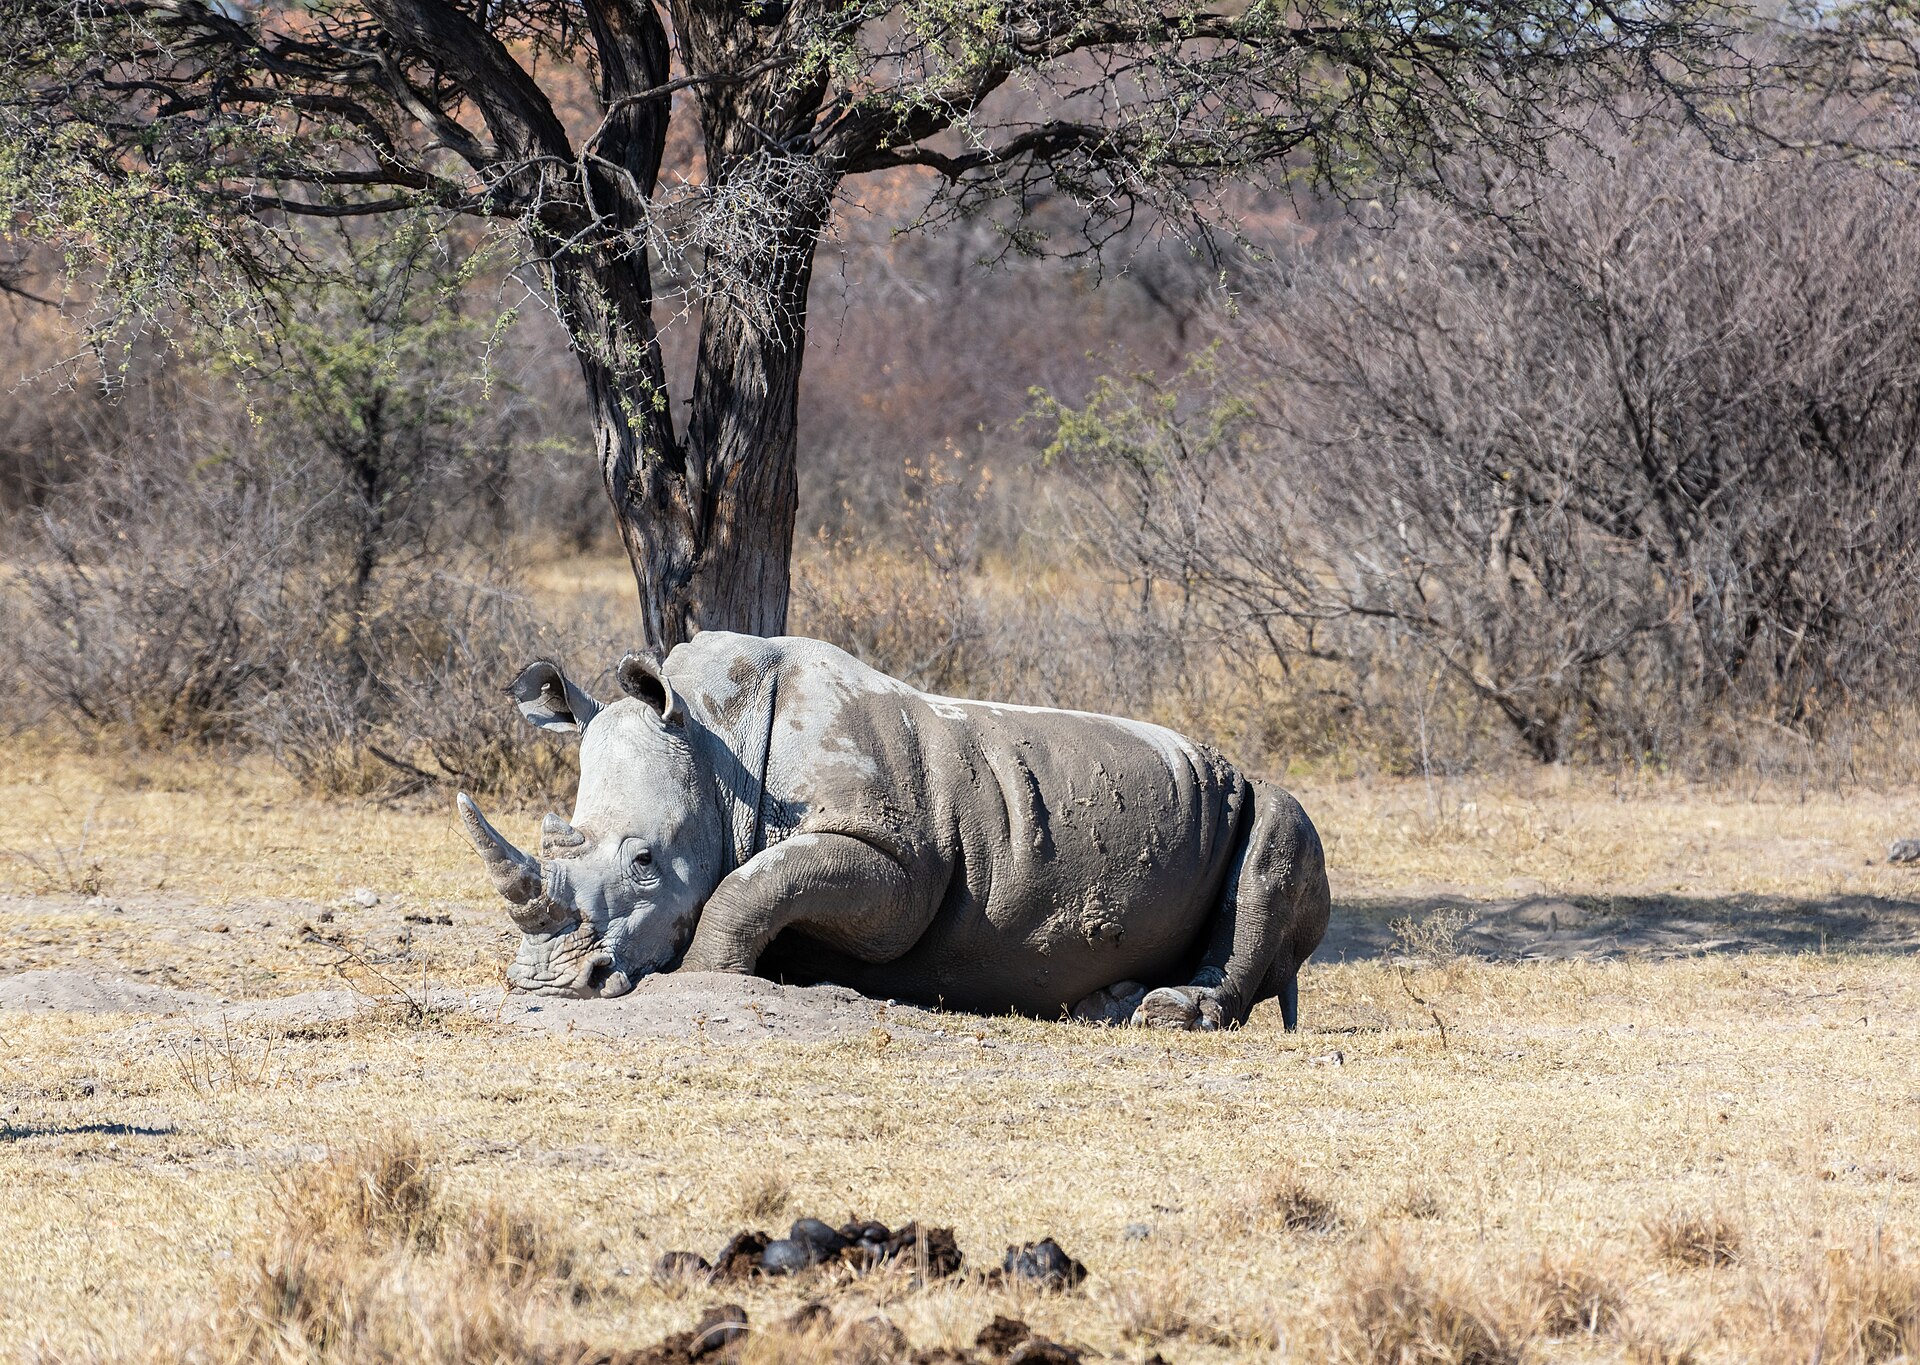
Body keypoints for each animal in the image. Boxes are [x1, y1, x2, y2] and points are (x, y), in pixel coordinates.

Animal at [457, 632, 1329, 1030]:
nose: (545, 983)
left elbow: (751, 884)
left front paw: (712, 977)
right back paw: (1104, 1006)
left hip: (1263, 795)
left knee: (1277, 828)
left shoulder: (897, 859)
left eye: (644, 860)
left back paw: (1165, 1014)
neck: (712, 735)